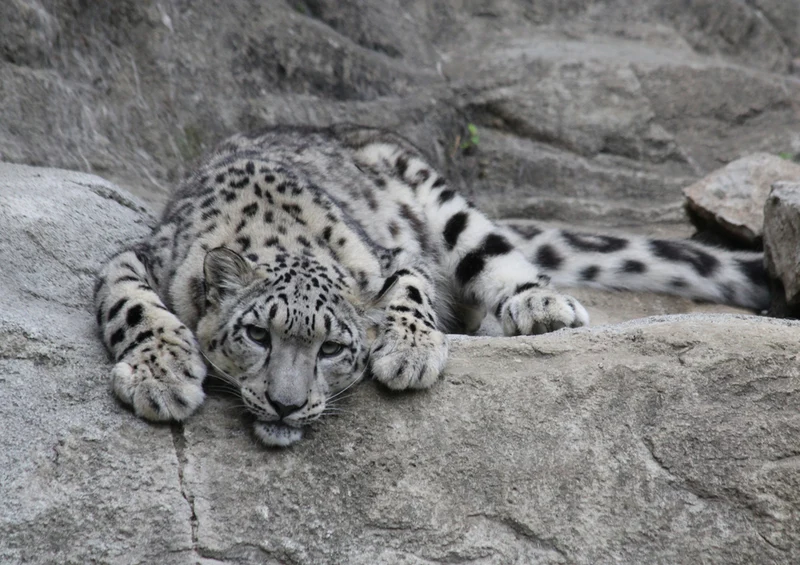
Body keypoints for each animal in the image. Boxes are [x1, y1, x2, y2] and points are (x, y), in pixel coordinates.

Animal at [94, 124, 769, 447]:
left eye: (333, 348)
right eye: (257, 334)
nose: (286, 404)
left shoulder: (393, 256)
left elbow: (409, 290)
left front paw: (410, 352)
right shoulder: (135, 259)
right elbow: (131, 305)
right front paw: (162, 375)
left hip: (446, 204)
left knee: (498, 257)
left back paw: (538, 307)